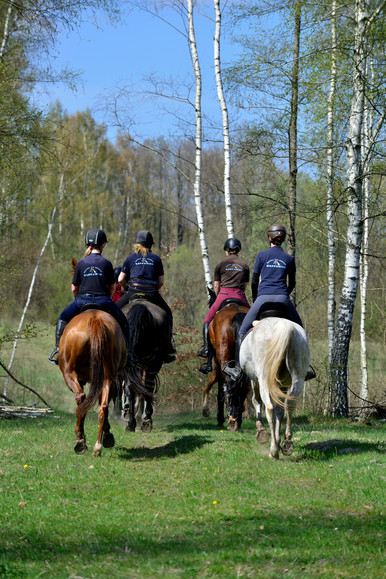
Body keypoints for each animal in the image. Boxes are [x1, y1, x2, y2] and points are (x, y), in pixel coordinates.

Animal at [58, 310, 128, 456]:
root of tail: (95, 319)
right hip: (108, 377)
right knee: (103, 407)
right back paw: (98, 446)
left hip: (69, 373)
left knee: (81, 399)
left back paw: (80, 440)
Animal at [241, 318, 310, 462]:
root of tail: (285, 326)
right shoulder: (281, 386)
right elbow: (280, 411)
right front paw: (278, 440)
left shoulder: (255, 379)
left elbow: (256, 401)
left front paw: (261, 431)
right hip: (298, 378)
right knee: (289, 406)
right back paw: (287, 442)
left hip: (264, 379)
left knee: (269, 408)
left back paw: (273, 451)